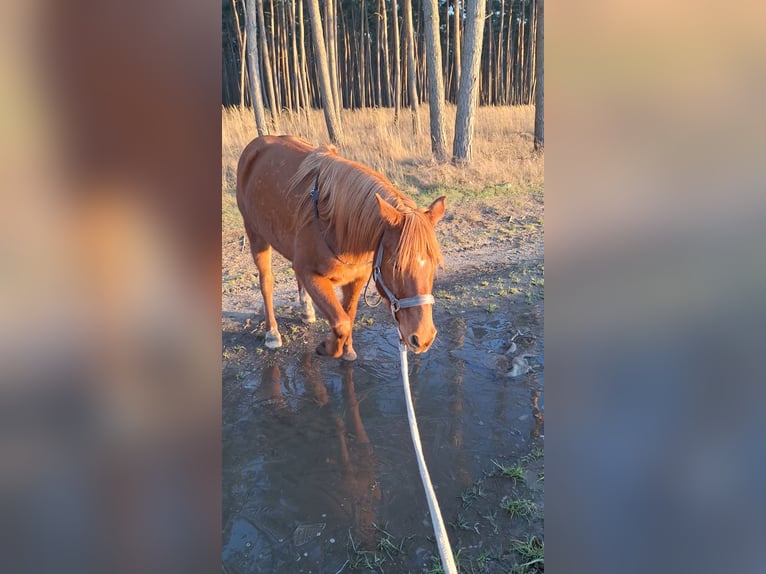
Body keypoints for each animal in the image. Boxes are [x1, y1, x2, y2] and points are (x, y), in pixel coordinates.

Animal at [237, 136, 448, 360]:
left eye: (435, 265)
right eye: (396, 265)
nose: (423, 338)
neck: (336, 225)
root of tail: (256, 144)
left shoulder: (356, 279)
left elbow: (349, 314)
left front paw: (347, 350)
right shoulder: (312, 275)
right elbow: (341, 322)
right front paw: (328, 347)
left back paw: (307, 311)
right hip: (256, 236)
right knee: (266, 282)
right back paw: (272, 333)